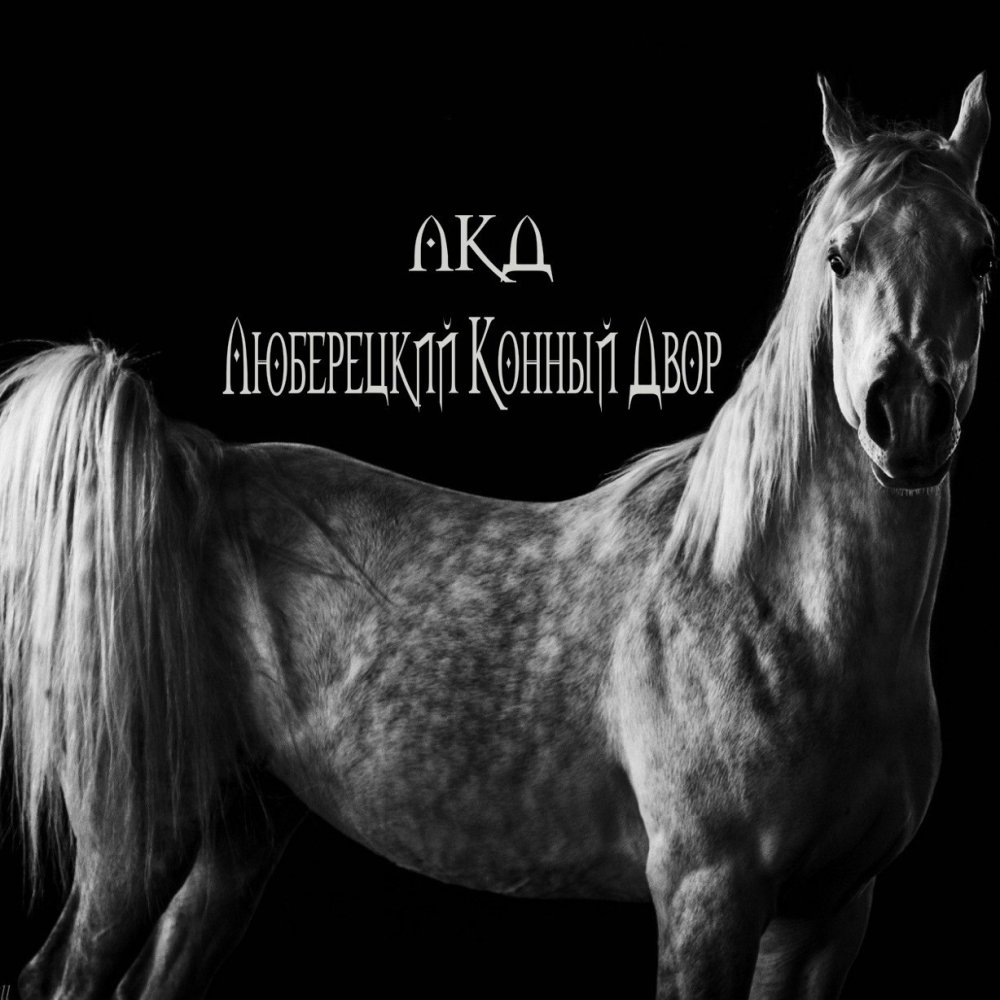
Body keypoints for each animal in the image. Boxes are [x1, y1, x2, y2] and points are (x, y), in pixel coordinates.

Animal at [0, 74, 991, 1000]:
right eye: (839, 254)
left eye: (980, 257)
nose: (907, 417)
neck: (776, 604)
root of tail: (188, 466)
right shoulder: (710, 894)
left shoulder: (826, 916)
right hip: (134, 842)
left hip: (234, 839)